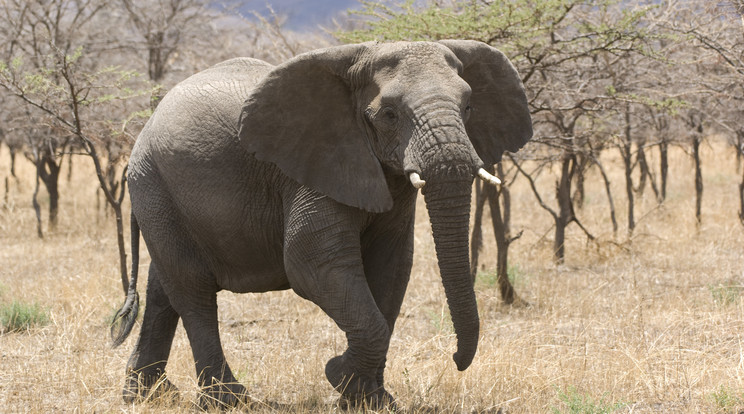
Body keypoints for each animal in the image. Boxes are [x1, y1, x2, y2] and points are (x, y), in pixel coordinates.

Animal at [110, 40, 532, 410]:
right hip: (154, 185)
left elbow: (392, 267)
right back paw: (228, 401)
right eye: (389, 114)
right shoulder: (313, 165)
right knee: (192, 289)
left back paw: (148, 395)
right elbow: (312, 265)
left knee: (164, 285)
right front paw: (339, 375)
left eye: (469, 106)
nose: (457, 360)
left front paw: (370, 400)